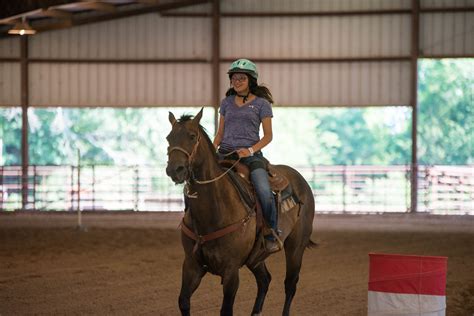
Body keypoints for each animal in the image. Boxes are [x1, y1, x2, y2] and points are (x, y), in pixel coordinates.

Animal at [166, 109, 314, 316]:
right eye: (169, 137)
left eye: (192, 136)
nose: (175, 170)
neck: (213, 211)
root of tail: (301, 182)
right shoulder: (191, 266)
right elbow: (183, 302)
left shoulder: (231, 271)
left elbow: (226, 310)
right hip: (256, 258)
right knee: (265, 280)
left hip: (296, 247)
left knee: (290, 285)